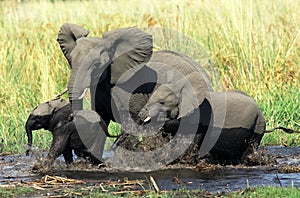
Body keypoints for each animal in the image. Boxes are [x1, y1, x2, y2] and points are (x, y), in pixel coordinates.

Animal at [139, 72, 268, 163]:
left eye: (162, 102)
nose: (140, 115)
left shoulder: (199, 115)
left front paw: (187, 160)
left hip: (258, 124)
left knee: (251, 146)